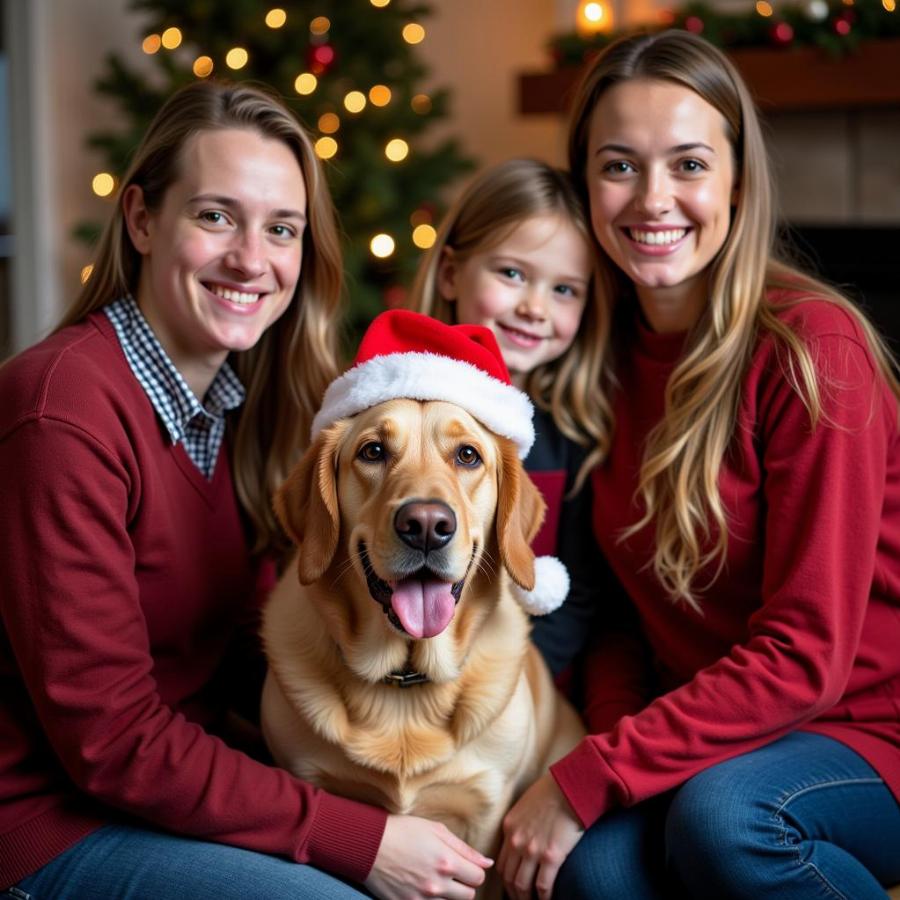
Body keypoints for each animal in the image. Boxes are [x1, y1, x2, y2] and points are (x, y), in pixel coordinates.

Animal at [260, 396, 584, 884]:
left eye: (468, 456)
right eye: (373, 451)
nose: (427, 525)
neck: (404, 681)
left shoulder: (485, 814)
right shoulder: (306, 776)